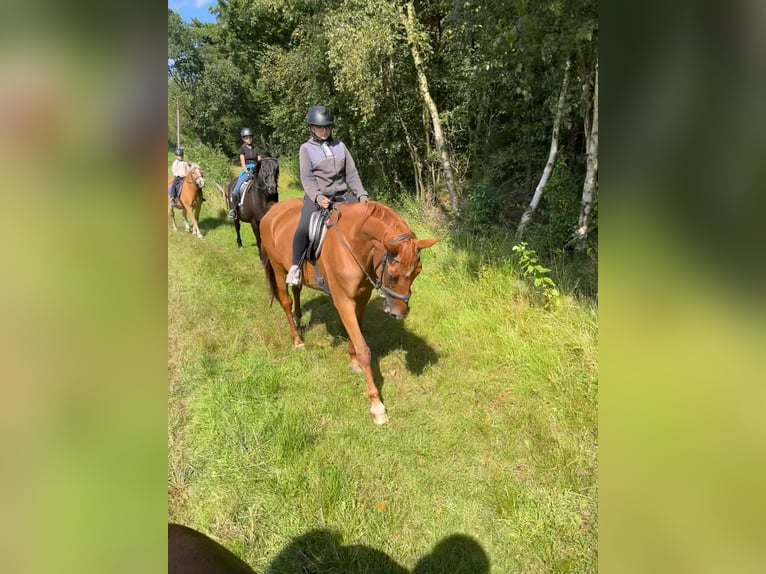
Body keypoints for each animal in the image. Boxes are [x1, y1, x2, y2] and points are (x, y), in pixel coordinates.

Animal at [258, 200, 438, 426]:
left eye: (417, 272)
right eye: (392, 275)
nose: (400, 314)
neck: (354, 246)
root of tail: (271, 212)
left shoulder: (361, 297)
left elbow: (356, 334)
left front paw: (353, 362)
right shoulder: (343, 301)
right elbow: (364, 349)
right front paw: (376, 406)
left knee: (297, 290)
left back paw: (299, 319)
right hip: (277, 268)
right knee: (286, 301)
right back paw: (297, 339)